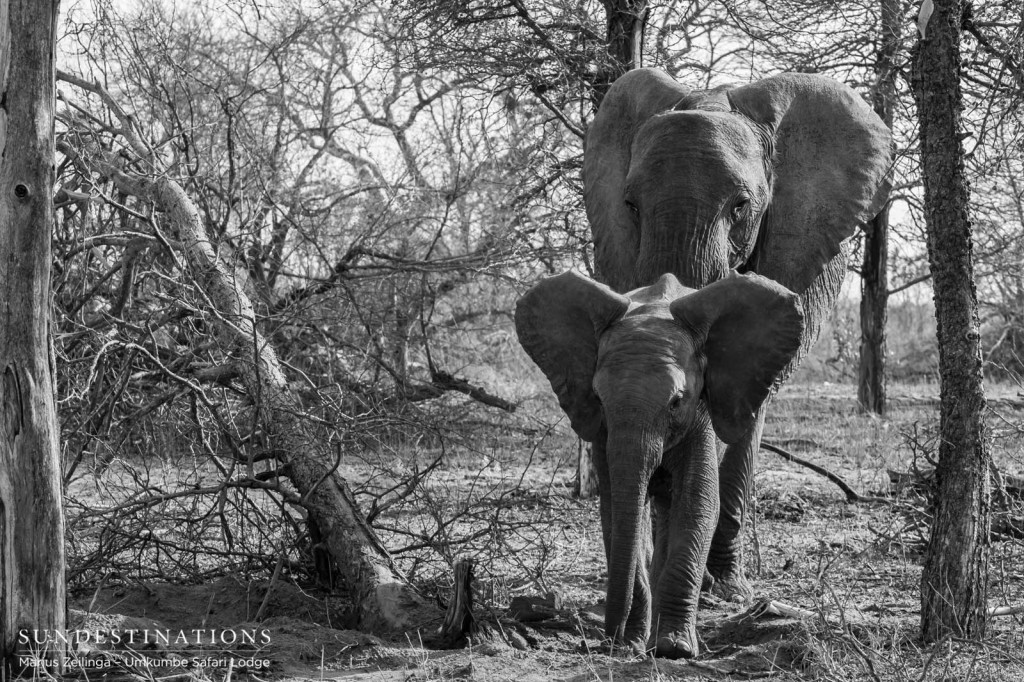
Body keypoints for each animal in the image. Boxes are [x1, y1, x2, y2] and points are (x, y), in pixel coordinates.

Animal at [516, 268, 802, 655]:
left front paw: (673, 649)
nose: (609, 641)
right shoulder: (604, 430)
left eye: (677, 401)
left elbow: (698, 503)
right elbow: (616, 512)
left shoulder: (702, 412)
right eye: (598, 398)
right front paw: (635, 644)